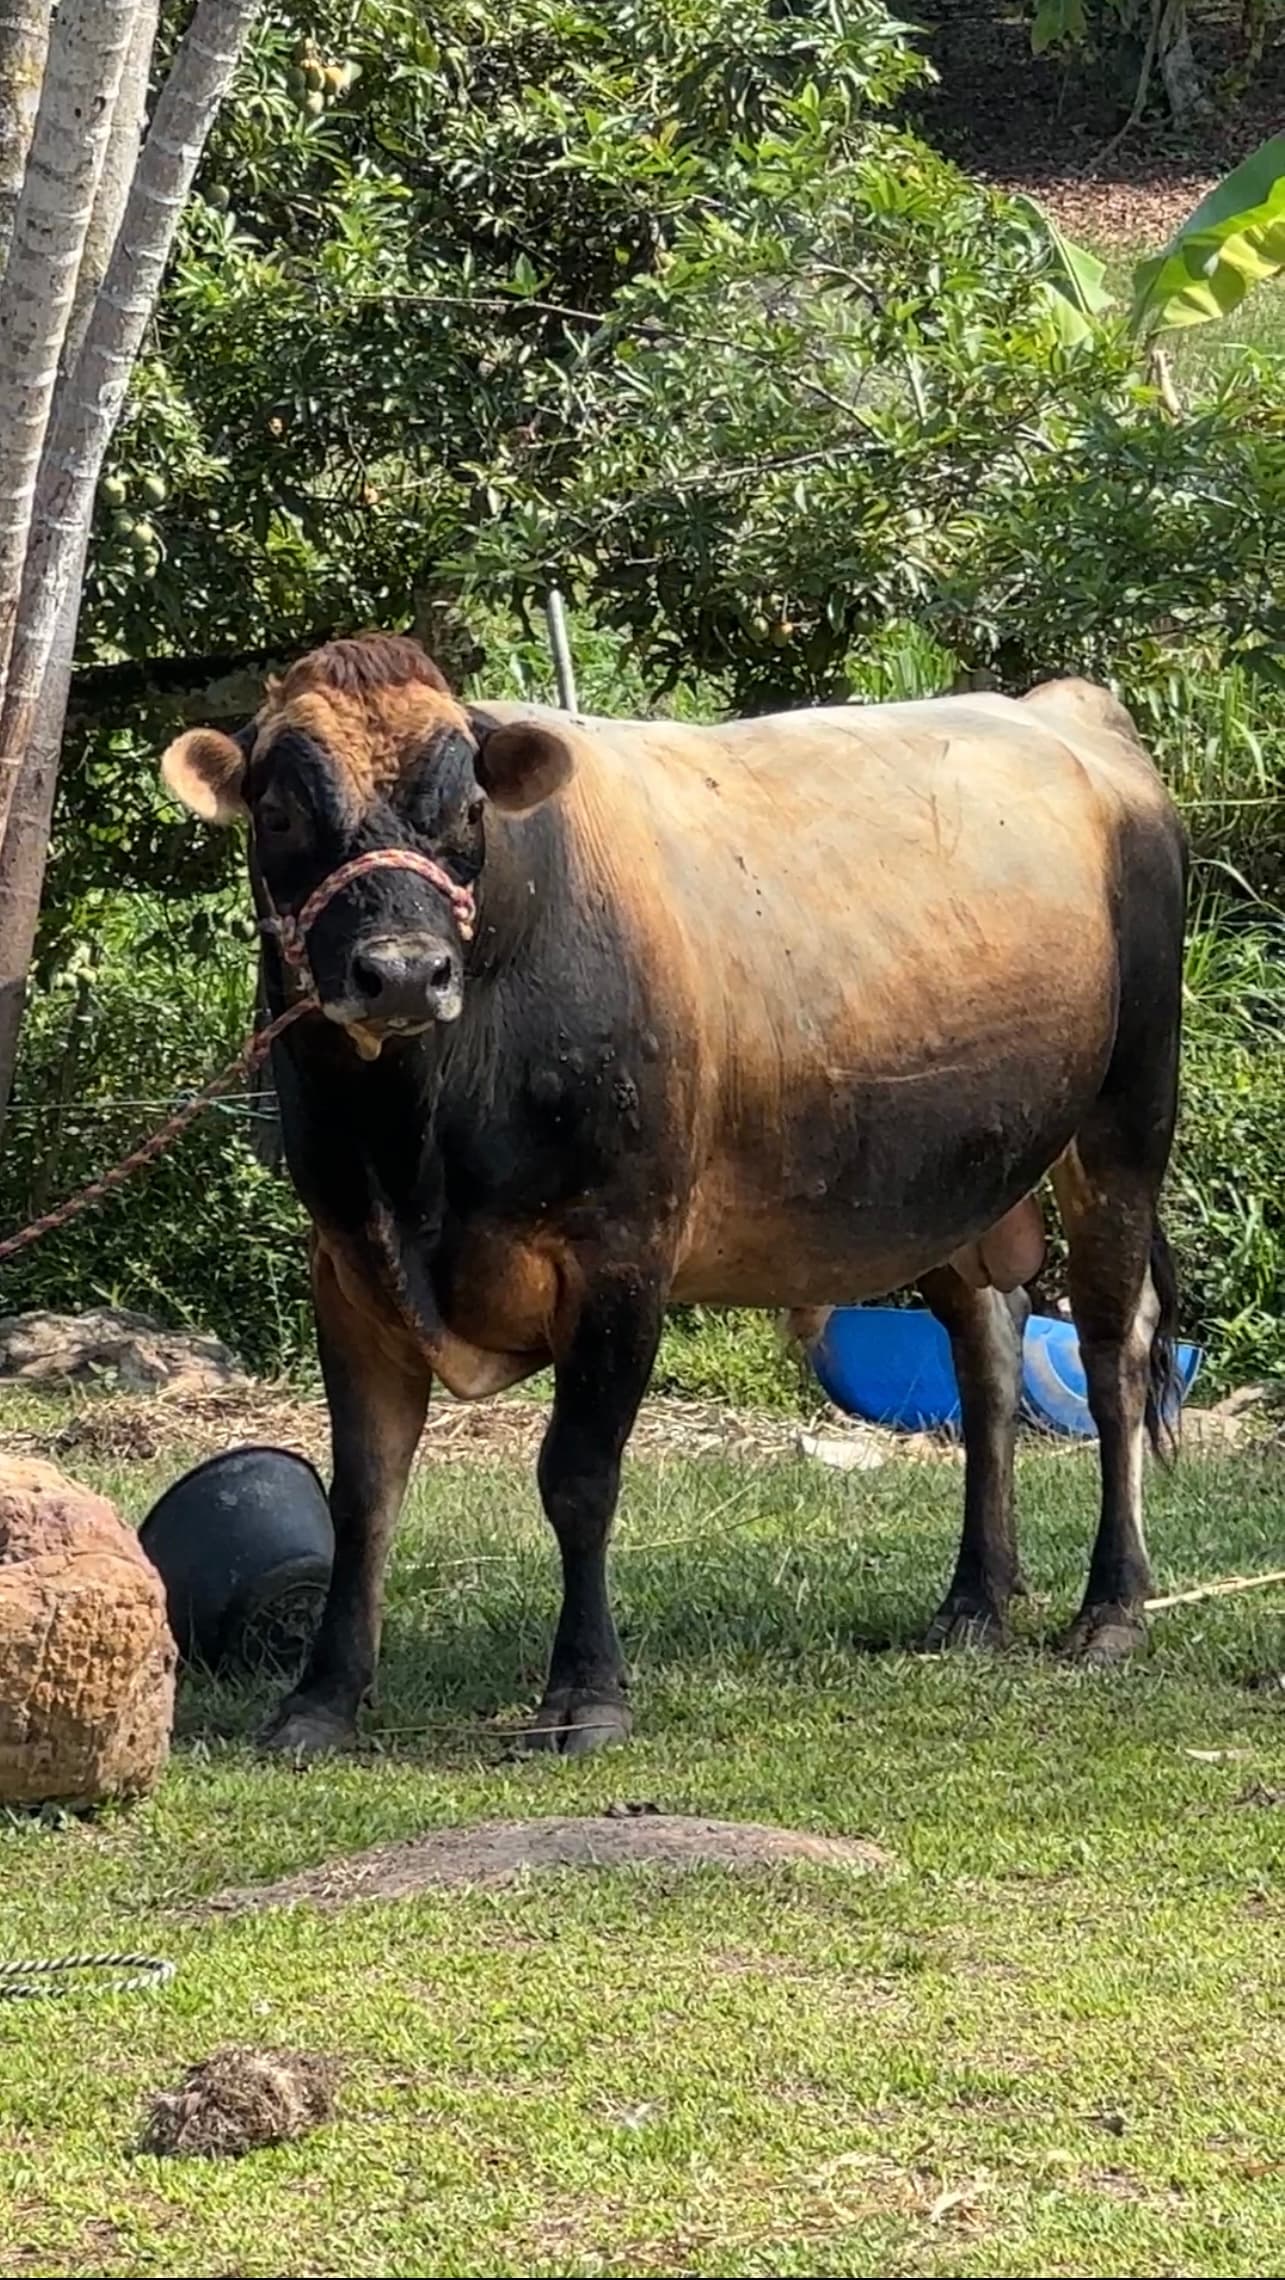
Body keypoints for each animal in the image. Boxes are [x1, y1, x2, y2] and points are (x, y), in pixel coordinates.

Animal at [160, 635, 1187, 1758]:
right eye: (279, 813)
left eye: (468, 809)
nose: (399, 972)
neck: (415, 1152)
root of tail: (1064, 708)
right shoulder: (347, 1260)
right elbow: (363, 1492)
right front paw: (321, 1700)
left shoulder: (618, 1254)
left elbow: (578, 1477)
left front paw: (585, 1693)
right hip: (956, 1173)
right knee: (988, 1350)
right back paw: (974, 1604)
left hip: (1126, 1115)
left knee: (1112, 1353)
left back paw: (1111, 1610)